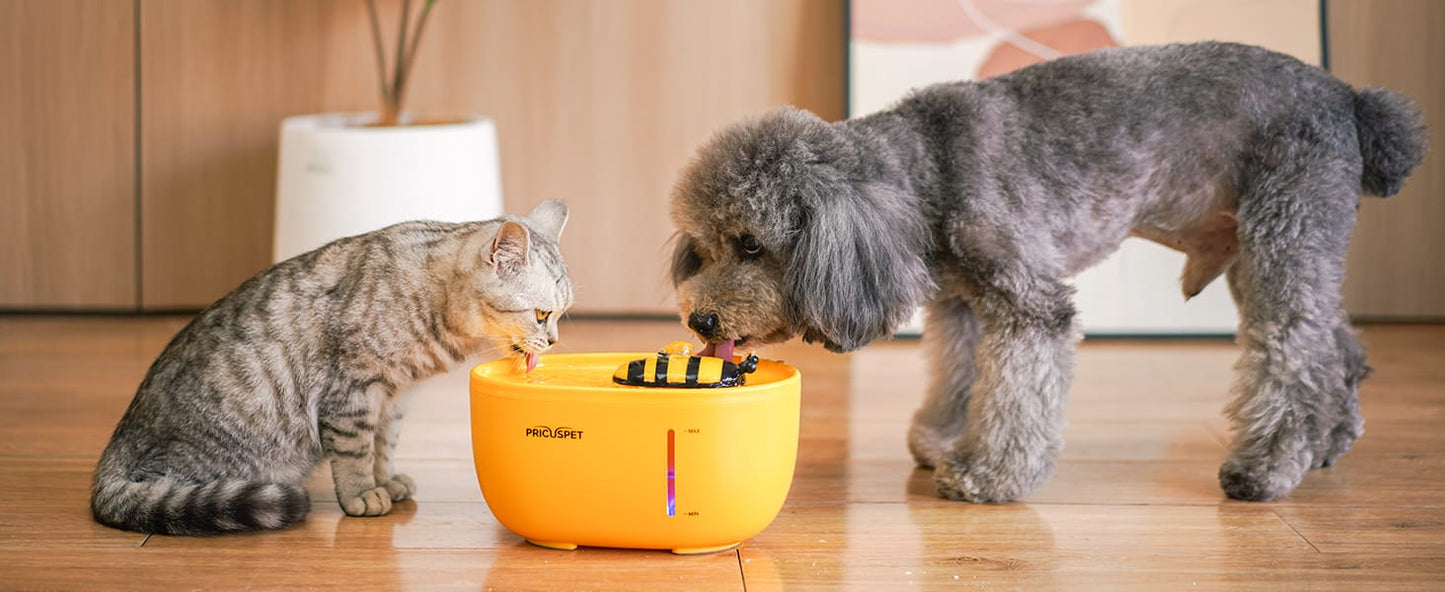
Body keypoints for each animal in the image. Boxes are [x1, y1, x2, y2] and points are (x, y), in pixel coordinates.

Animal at [87, 200, 575, 534]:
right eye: (541, 315)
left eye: (561, 313)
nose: (554, 341)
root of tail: (110, 460)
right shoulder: (354, 392)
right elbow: (356, 453)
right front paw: (362, 495)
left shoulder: (395, 399)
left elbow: (383, 447)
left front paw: (386, 482)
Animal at [670, 42, 1427, 505]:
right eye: (701, 248)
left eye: (750, 244)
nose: (700, 319)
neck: (925, 170)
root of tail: (1348, 97)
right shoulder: (964, 304)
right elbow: (961, 374)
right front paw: (942, 438)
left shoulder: (1029, 303)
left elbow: (1016, 391)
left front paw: (988, 472)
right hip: (1269, 248)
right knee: (1335, 344)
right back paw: (1329, 440)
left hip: (1283, 234)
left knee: (1292, 350)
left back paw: (1266, 467)